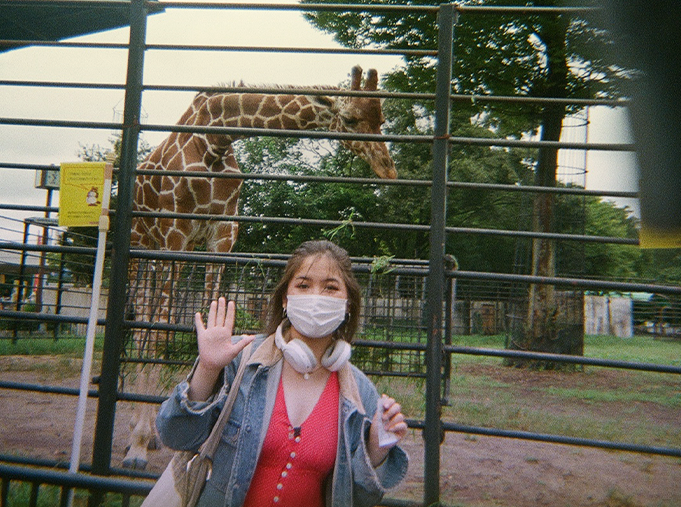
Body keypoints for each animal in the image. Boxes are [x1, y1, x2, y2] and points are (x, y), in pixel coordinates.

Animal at [122, 65, 396, 470]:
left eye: (382, 119)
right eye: (350, 119)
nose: (388, 170)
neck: (215, 140)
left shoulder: (222, 236)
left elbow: (208, 317)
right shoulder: (176, 234)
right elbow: (161, 334)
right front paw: (138, 445)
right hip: (142, 247)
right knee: (142, 322)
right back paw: (136, 436)